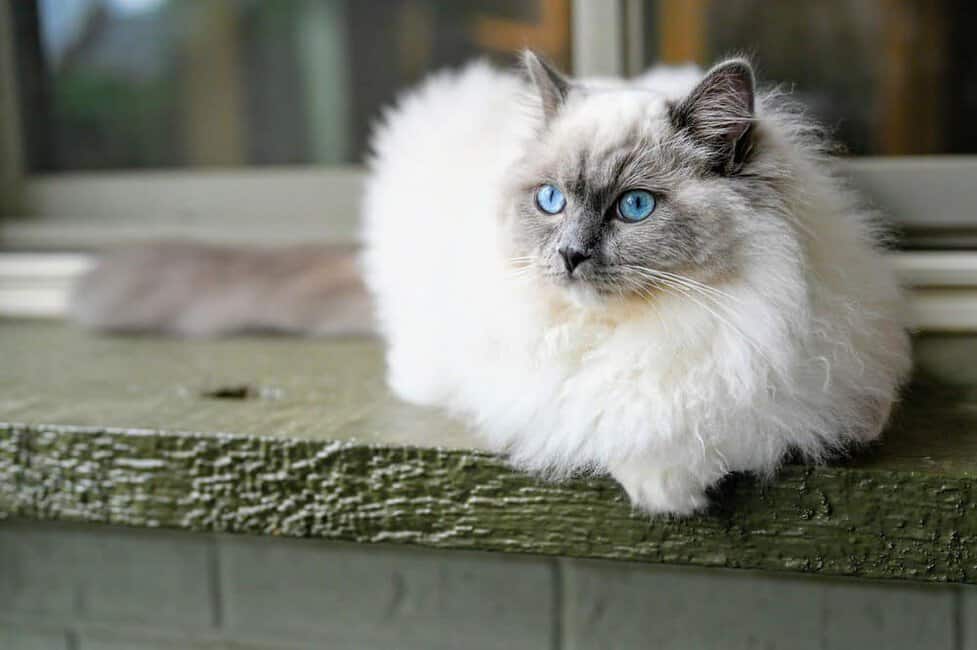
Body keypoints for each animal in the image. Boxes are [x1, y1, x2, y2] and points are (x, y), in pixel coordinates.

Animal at [72, 53, 912, 512]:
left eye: (634, 207)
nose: (569, 255)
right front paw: (664, 490)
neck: (641, 328)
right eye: (550, 201)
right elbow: (618, 424)